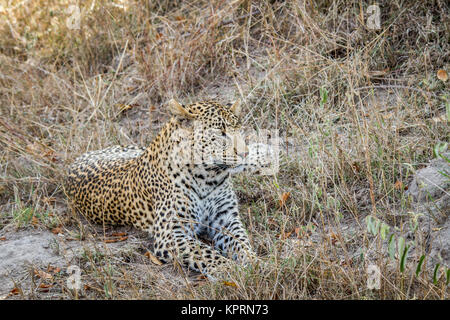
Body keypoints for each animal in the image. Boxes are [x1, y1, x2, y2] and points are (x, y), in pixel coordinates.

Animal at [65, 99, 272, 278]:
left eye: (239, 129)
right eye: (220, 133)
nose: (244, 153)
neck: (209, 178)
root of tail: (79, 158)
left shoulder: (226, 219)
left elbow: (242, 243)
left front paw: (256, 264)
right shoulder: (171, 233)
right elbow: (205, 252)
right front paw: (228, 269)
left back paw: (264, 154)